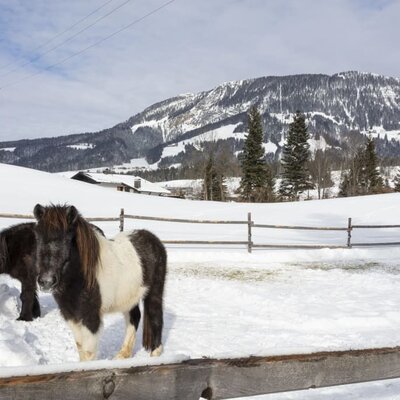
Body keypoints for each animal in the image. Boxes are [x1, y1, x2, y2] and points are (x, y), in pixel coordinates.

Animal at [32, 205, 167, 360]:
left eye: (67, 238)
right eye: (37, 237)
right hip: (130, 297)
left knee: (156, 316)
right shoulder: (72, 316)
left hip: (154, 292)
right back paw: (123, 355)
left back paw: (155, 353)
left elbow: (88, 353)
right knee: (134, 317)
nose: (46, 281)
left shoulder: (91, 318)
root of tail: (154, 240)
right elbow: (81, 348)